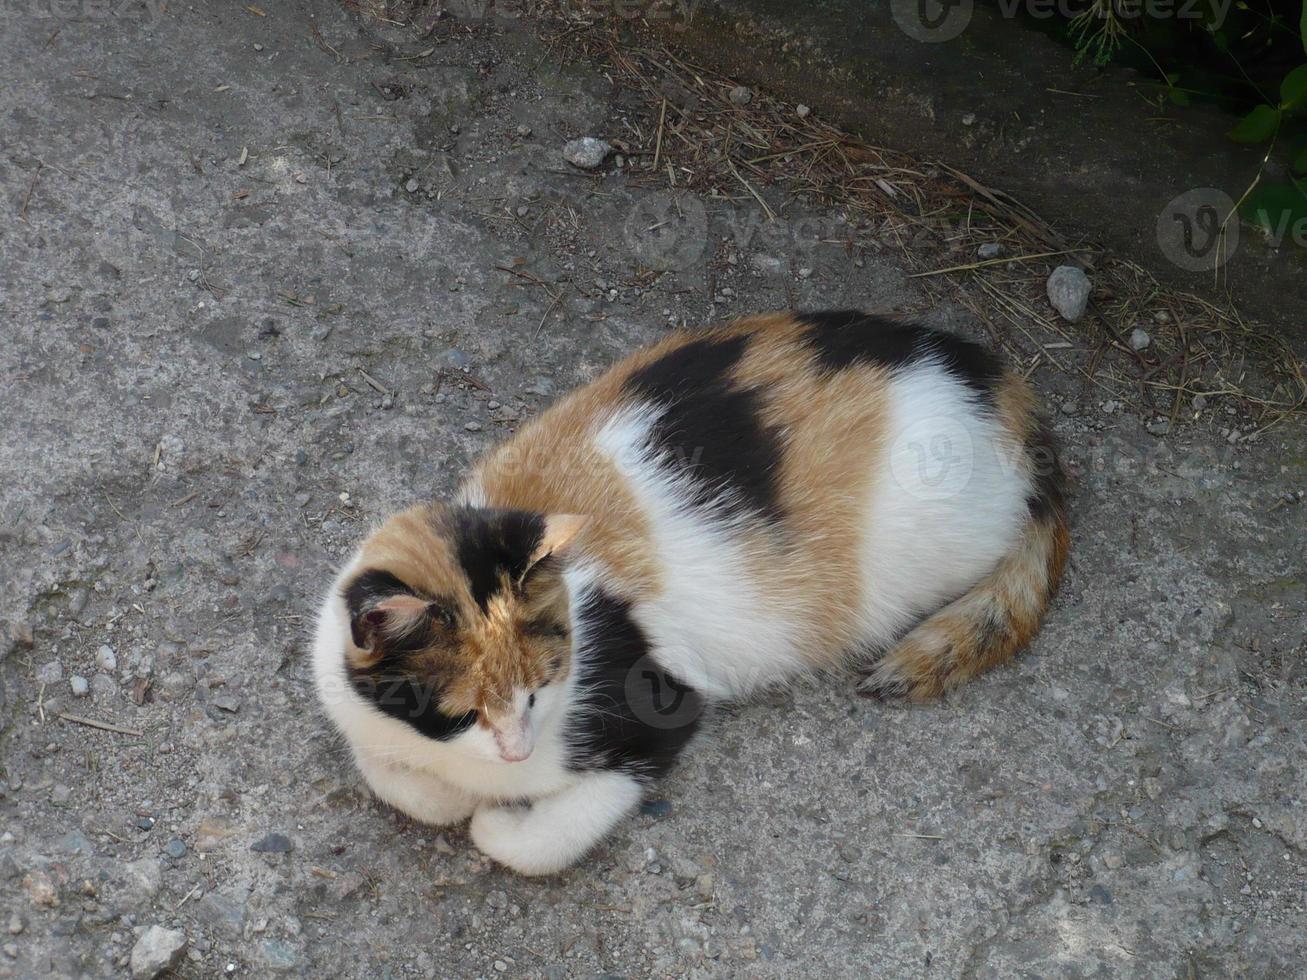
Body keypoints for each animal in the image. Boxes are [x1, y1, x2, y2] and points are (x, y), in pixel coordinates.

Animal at [311, 310, 1066, 878]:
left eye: (539, 686)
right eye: (465, 711)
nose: (519, 751)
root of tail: (997, 378)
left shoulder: (658, 713)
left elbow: (532, 839)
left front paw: (496, 816)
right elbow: (393, 777)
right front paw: (443, 792)